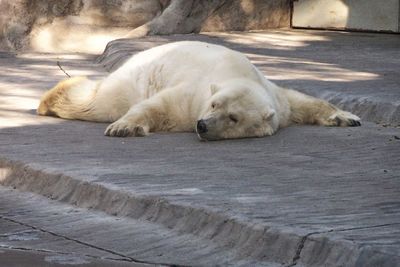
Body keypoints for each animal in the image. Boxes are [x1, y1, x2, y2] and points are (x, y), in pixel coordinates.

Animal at [37, 41, 360, 141]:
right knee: (101, 103)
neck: (237, 74)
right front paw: (124, 128)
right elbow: (159, 106)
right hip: (137, 77)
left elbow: (301, 102)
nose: (202, 125)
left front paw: (347, 118)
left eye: (233, 117)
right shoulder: (191, 96)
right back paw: (49, 101)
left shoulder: (278, 101)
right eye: (215, 104)